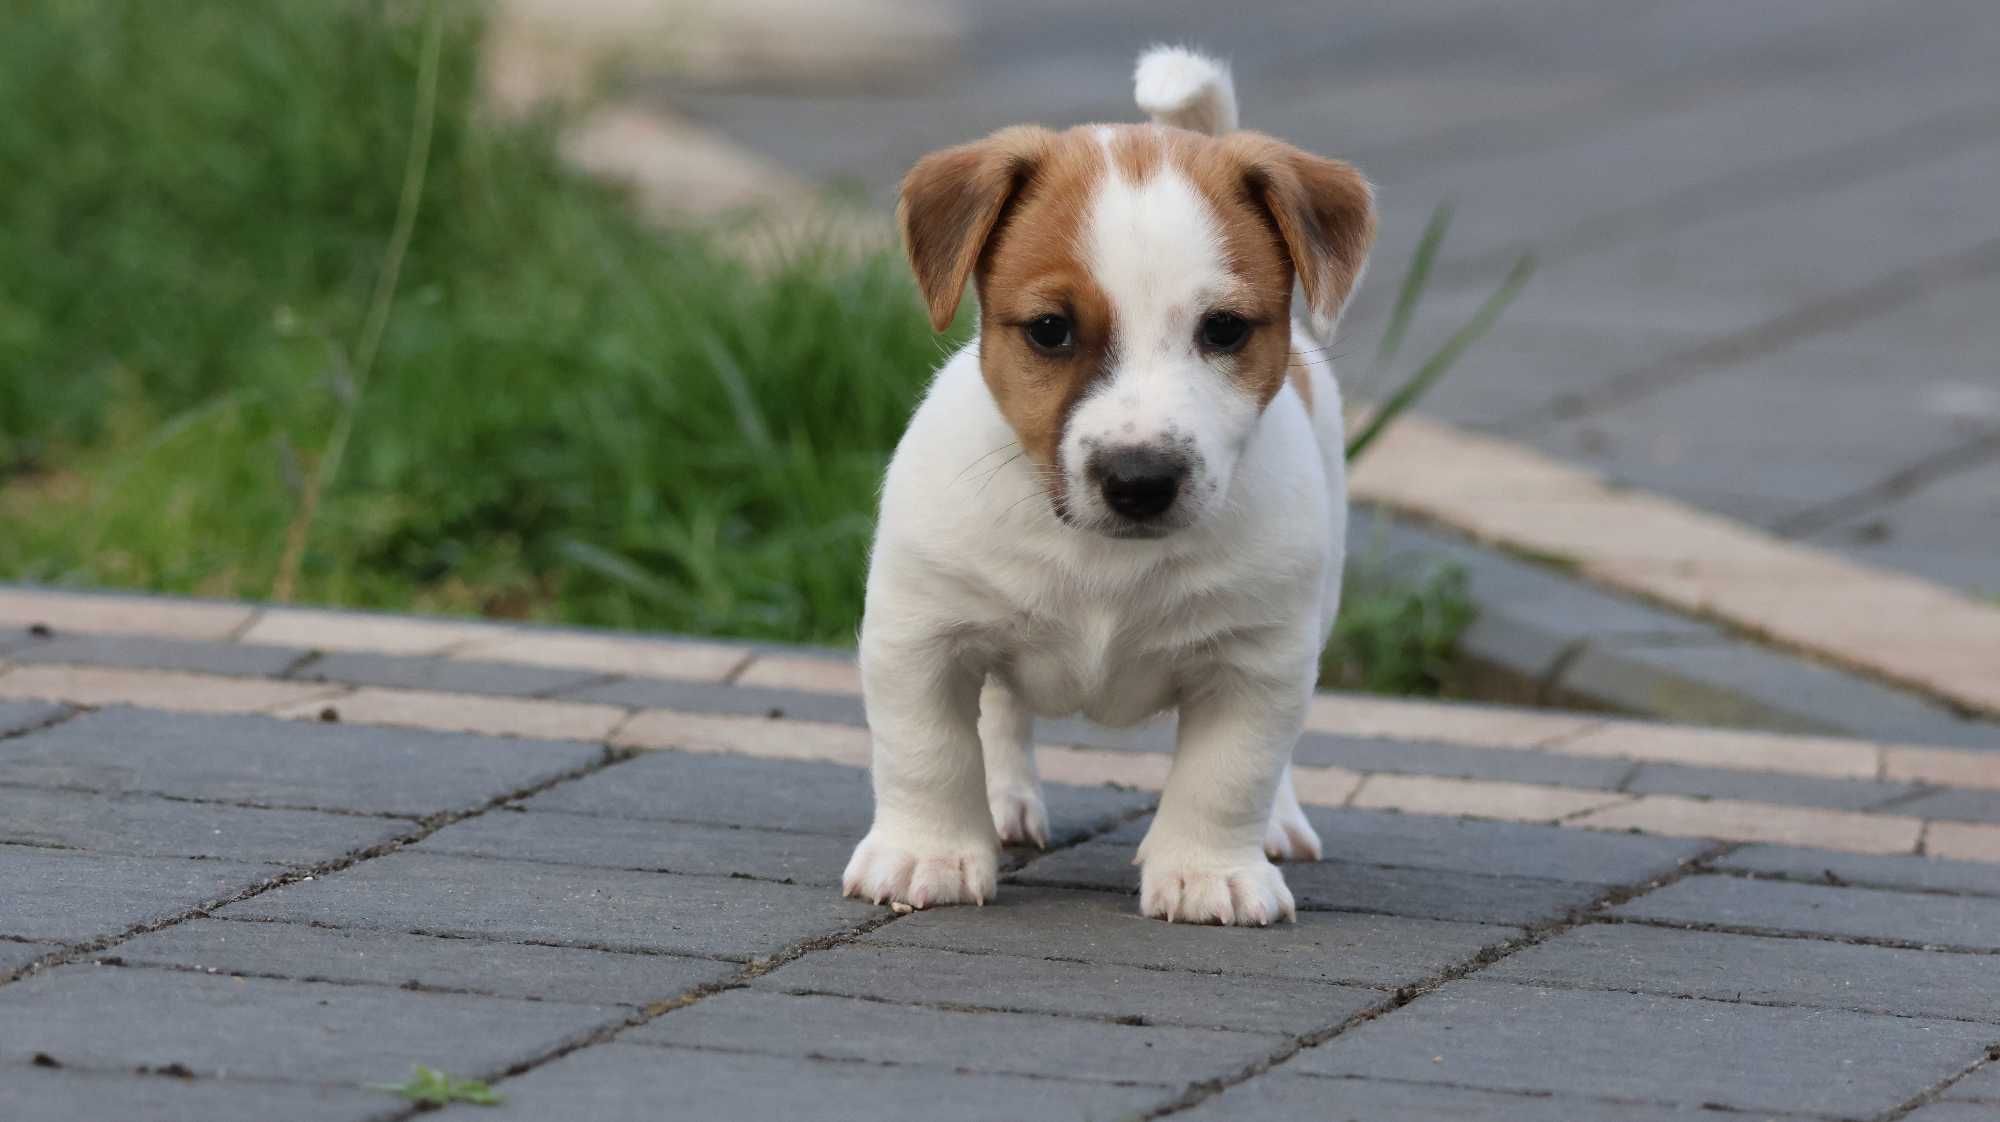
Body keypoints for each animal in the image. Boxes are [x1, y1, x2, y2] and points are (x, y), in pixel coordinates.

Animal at [844, 46, 1376, 928]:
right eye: (1050, 330)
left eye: (1223, 330)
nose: (1140, 479)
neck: (1101, 558)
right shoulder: (920, 634)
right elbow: (928, 752)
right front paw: (931, 852)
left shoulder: (1258, 660)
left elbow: (1229, 773)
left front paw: (1207, 872)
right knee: (1000, 712)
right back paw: (1005, 801)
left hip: (1319, 599)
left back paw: (1279, 823)